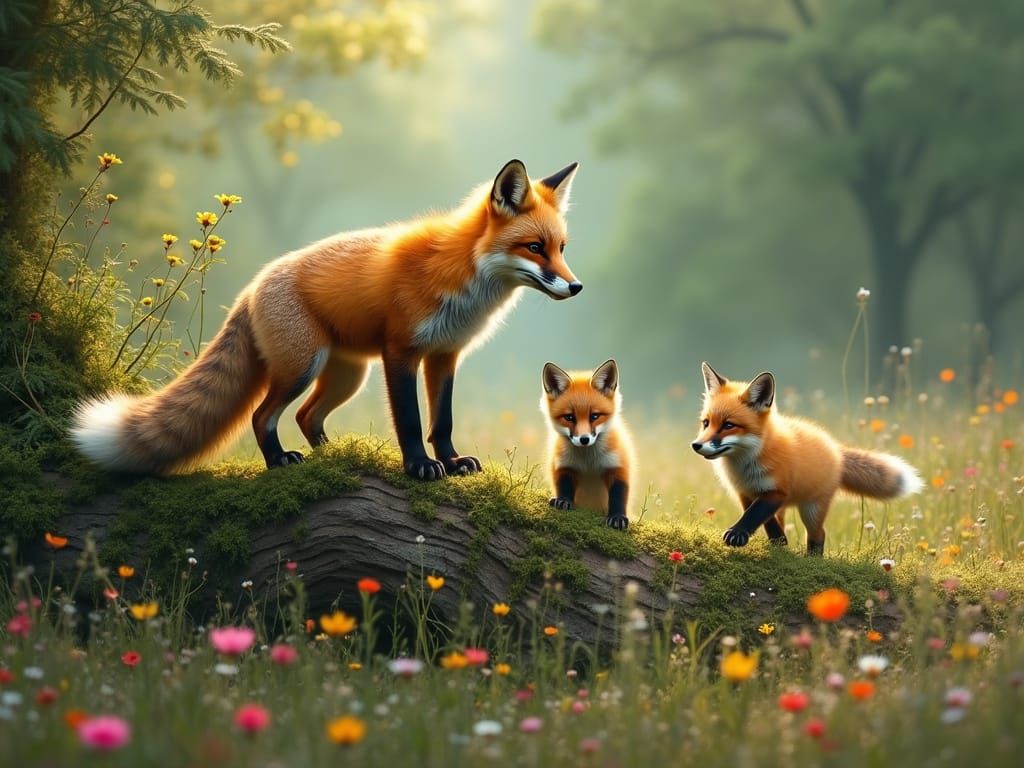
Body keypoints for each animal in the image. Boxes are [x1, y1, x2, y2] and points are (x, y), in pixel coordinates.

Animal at [71, 159, 583, 479]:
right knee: (264, 416)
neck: (464, 276)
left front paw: (453, 462)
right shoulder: (401, 352)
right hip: (303, 367)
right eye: (534, 247)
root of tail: (251, 289)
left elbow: (443, 422)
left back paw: (334, 455)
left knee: (305, 415)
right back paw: (279, 460)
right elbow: (411, 421)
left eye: (561, 248)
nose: (576, 287)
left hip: (345, 376)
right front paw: (420, 467)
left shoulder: (444, 356)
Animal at [541, 359, 635, 530]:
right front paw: (563, 501)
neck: (588, 462)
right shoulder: (564, 465)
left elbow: (618, 496)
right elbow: (563, 486)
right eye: (569, 417)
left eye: (594, 416)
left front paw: (618, 517)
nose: (584, 439)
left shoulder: (618, 467)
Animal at [691, 362, 923, 555]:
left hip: (812, 509)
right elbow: (765, 520)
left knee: (818, 534)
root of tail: (835, 449)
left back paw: (813, 558)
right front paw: (778, 542)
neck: (745, 465)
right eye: (706, 423)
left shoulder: (777, 491)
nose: (696, 445)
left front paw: (738, 533)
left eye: (728, 425)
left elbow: (754, 514)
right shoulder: (746, 493)